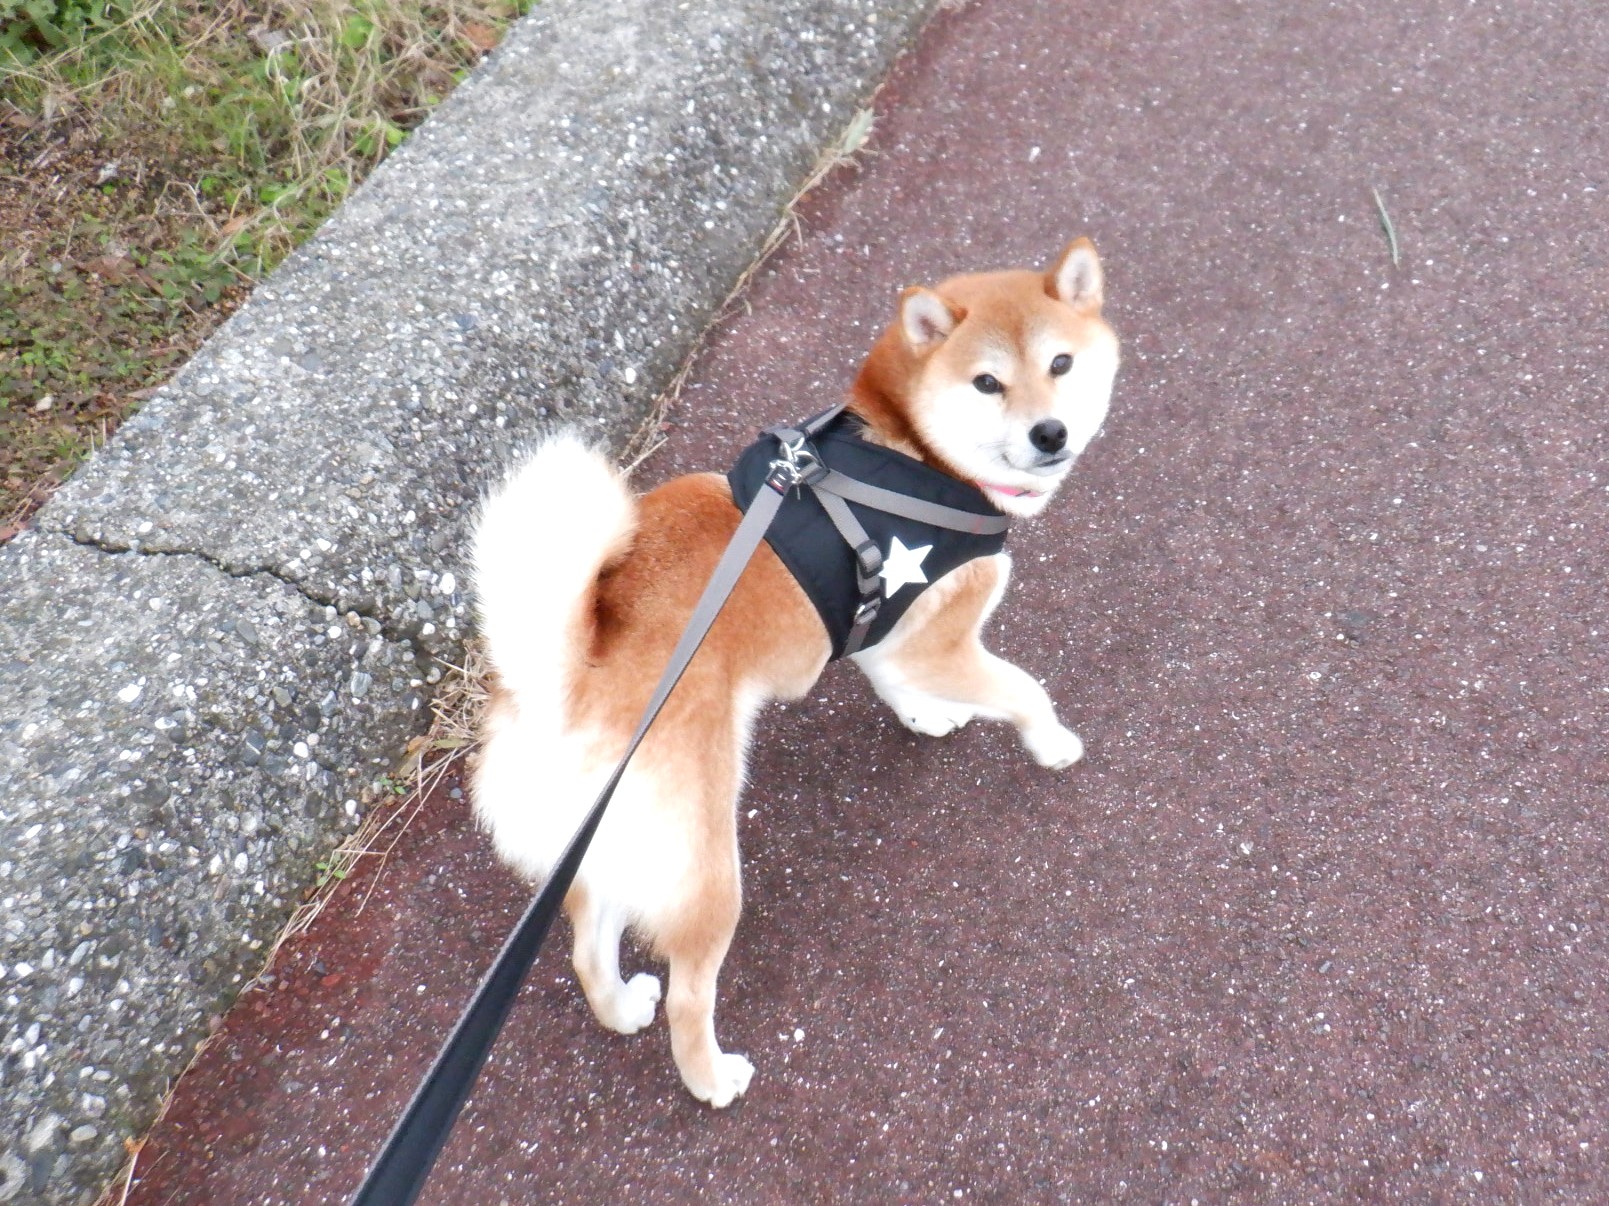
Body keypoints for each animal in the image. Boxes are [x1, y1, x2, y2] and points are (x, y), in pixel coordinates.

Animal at [469, 237, 1119, 1112]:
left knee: (585, 947)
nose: (1049, 432)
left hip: (601, 851)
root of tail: (562, 686)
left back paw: (620, 1006)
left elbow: (891, 680)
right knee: (689, 992)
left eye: (1060, 363)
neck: (914, 453)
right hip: (706, 865)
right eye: (987, 383)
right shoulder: (940, 640)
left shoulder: (891, 634)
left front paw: (924, 718)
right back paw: (711, 1078)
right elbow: (1021, 689)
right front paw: (1051, 743)